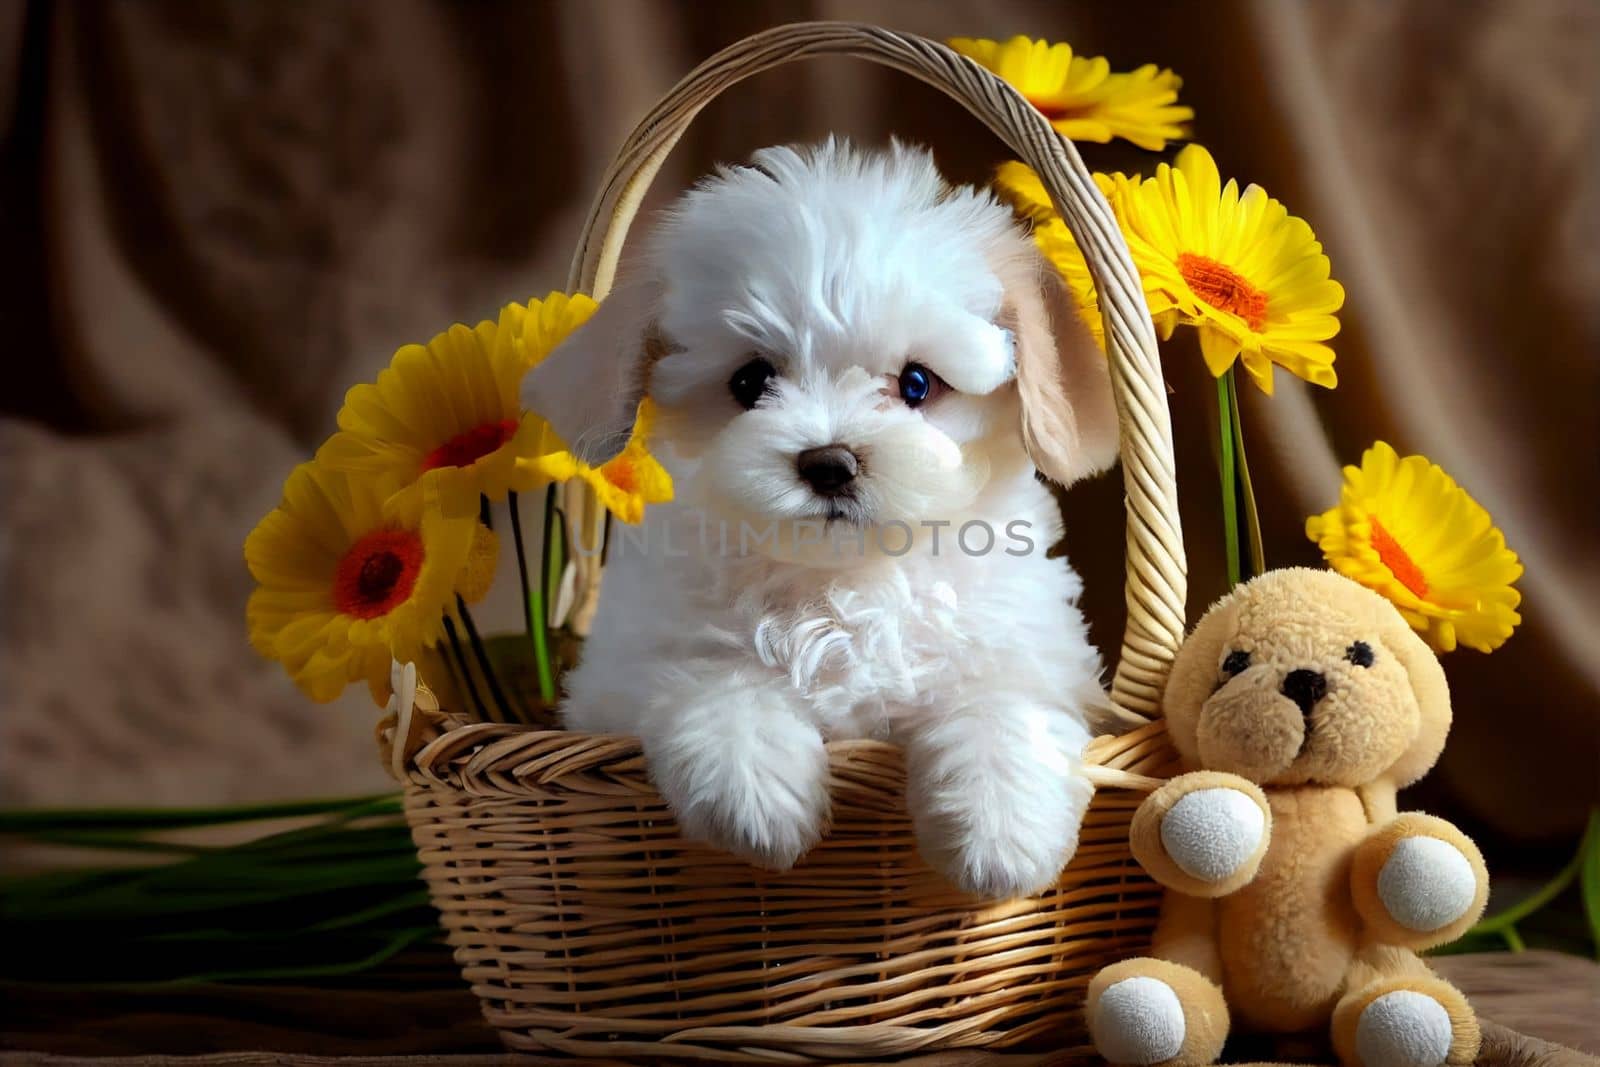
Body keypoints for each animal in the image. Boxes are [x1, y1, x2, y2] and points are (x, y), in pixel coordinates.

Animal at [521, 137, 1113, 895]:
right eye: (750, 381)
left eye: (917, 384)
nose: (830, 462)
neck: (840, 585)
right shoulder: (621, 673)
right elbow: (715, 674)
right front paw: (754, 788)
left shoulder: (1035, 652)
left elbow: (1003, 701)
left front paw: (1002, 827)